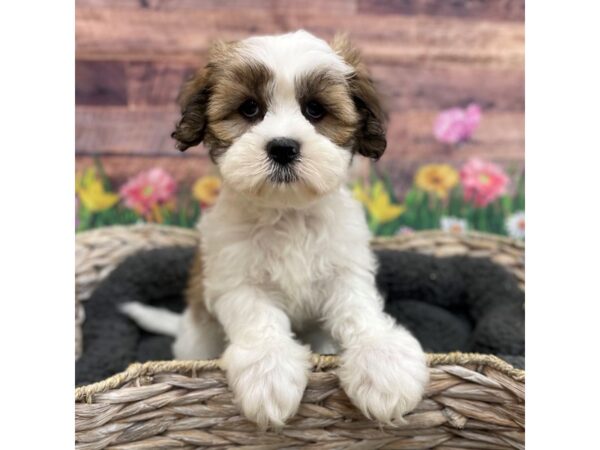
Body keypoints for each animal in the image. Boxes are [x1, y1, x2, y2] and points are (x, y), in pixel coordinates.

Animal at [122, 29, 428, 430]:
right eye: (250, 109)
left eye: (315, 110)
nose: (283, 147)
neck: (287, 213)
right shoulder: (237, 279)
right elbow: (259, 320)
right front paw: (268, 374)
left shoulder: (344, 268)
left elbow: (358, 309)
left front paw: (382, 360)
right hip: (196, 339)